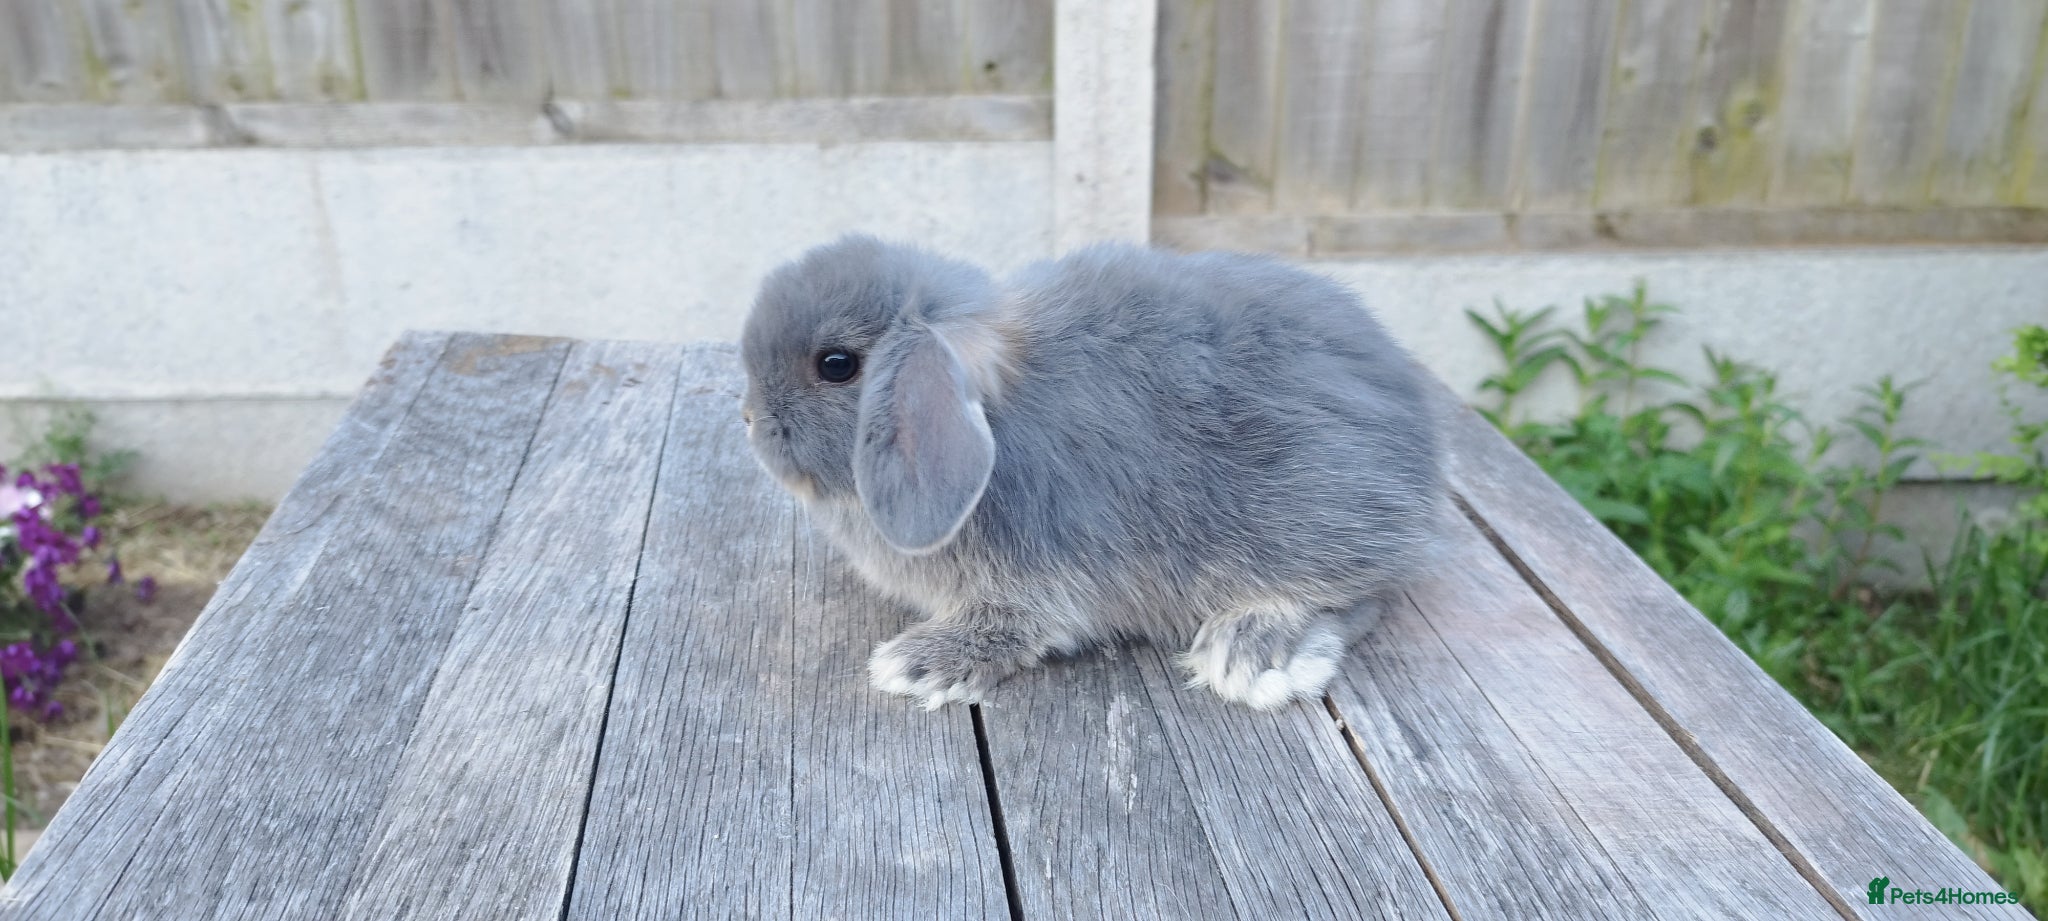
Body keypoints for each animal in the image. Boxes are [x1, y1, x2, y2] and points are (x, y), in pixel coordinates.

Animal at [739, 235, 1443, 710]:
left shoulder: (1041, 573)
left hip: (1311, 522)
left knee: (1359, 597)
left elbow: (1016, 624)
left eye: (836, 364)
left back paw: (1249, 649)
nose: (749, 417)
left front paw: (918, 664)